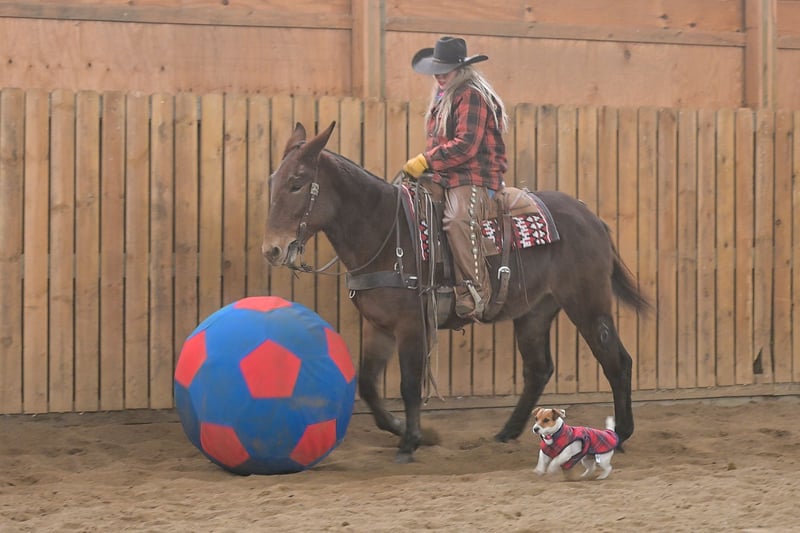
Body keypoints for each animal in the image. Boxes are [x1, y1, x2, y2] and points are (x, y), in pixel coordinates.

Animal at [262, 121, 650, 464]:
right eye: (273, 181)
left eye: (297, 184)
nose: (272, 250)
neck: (385, 231)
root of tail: (591, 218)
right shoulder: (379, 326)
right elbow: (369, 385)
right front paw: (402, 428)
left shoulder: (411, 325)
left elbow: (409, 384)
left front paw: (410, 442)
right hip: (535, 312)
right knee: (538, 369)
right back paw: (507, 433)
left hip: (587, 303)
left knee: (616, 361)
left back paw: (621, 435)